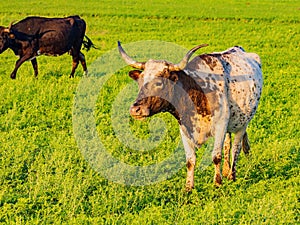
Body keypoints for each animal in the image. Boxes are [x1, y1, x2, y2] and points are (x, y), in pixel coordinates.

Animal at [118, 41, 262, 191]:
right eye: (140, 82)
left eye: (159, 83)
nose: (135, 109)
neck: (198, 92)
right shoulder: (184, 129)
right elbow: (190, 160)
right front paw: (188, 188)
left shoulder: (220, 125)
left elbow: (216, 156)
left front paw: (217, 183)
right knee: (228, 144)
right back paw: (227, 170)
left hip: (243, 124)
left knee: (235, 148)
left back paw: (231, 176)